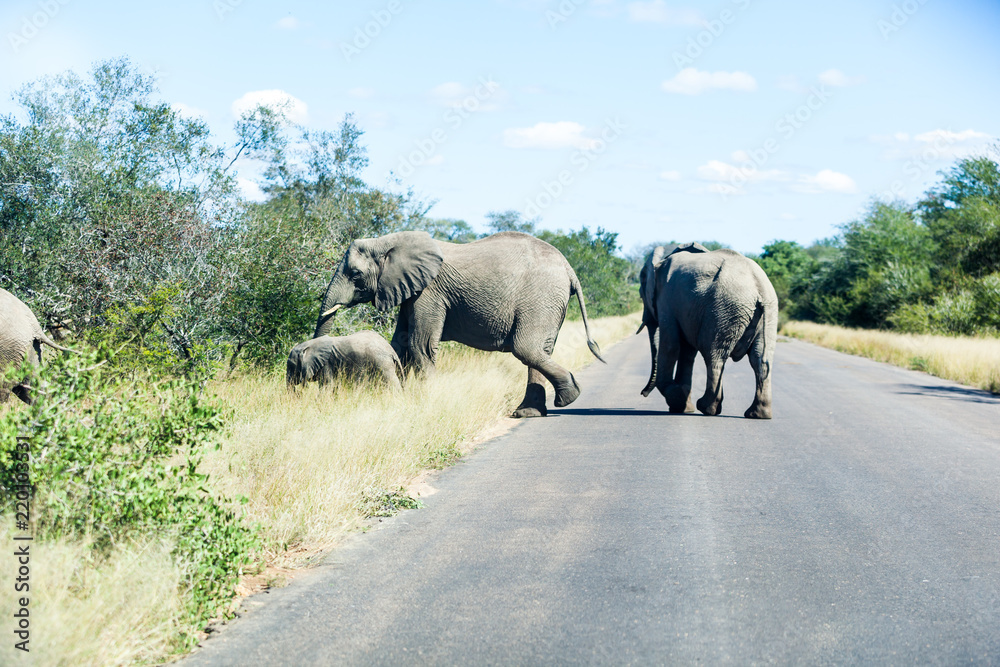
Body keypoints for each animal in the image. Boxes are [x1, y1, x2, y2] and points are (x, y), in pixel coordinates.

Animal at [316, 231, 604, 418]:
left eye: (355, 274)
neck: (390, 241)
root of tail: (569, 269)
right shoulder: (411, 291)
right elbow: (400, 344)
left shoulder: (429, 291)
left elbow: (419, 345)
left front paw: (427, 403)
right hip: (547, 301)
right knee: (538, 350)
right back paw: (529, 412)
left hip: (541, 297)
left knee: (526, 348)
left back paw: (568, 397)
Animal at [636, 243, 776, 420]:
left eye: (641, 290)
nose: (642, 393)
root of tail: (759, 286)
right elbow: (687, 353)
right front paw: (683, 407)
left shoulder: (666, 300)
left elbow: (671, 347)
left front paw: (677, 399)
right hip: (767, 314)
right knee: (760, 360)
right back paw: (758, 414)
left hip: (723, 310)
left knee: (714, 355)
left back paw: (707, 408)